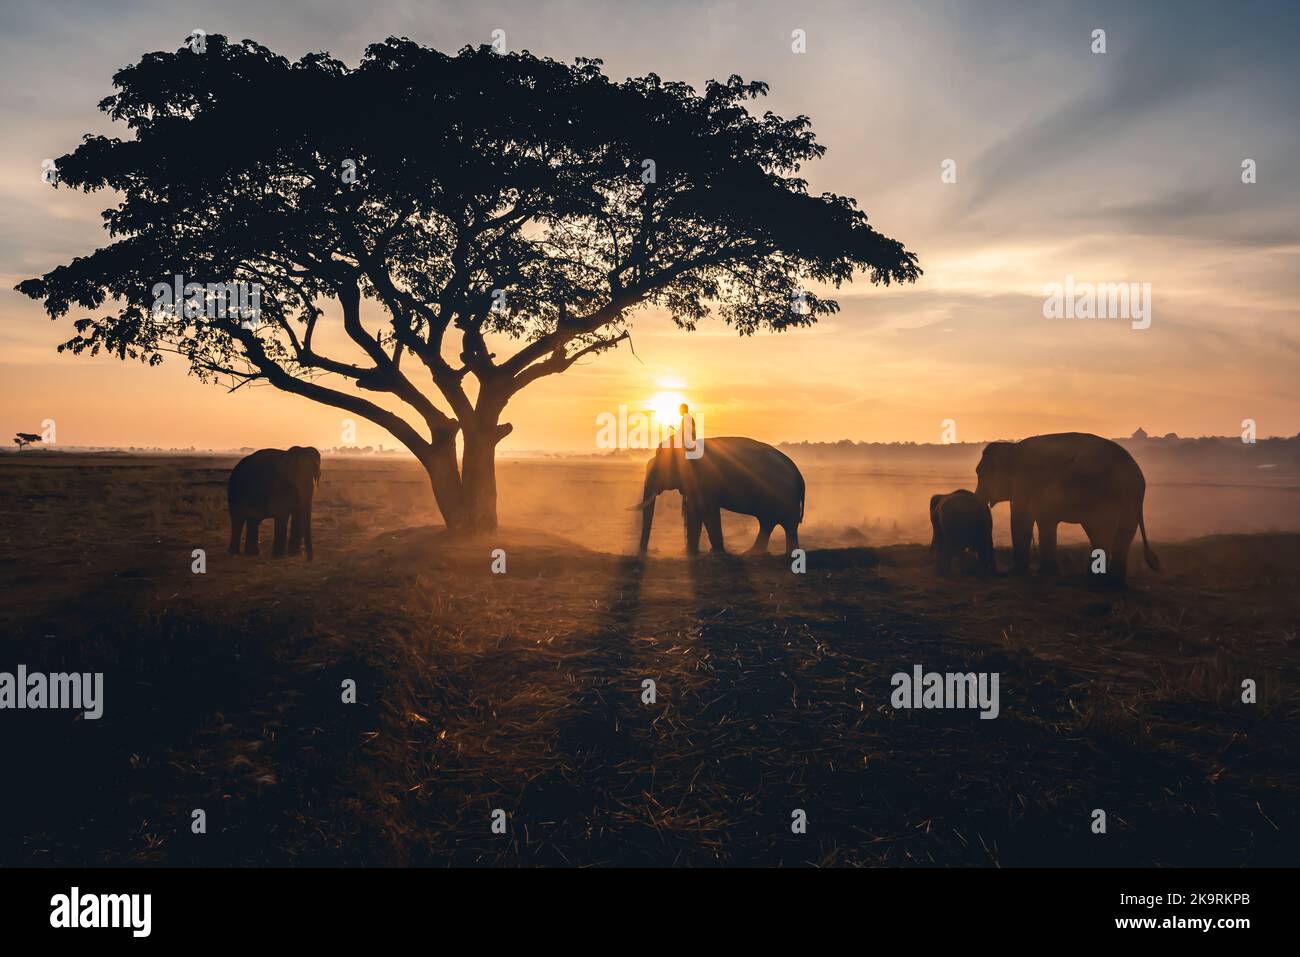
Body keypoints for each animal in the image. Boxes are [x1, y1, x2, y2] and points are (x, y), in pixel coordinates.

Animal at [631, 434, 800, 553]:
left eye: (658, 470)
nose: (649, 550)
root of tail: (797, 472)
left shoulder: (705, 481)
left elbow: (706, 511)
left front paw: (714, 552)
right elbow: (696, 511)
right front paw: (690, 552)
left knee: (779, 523)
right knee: (772, 523)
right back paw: (759, 553)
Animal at [977, 434, 1159, 582]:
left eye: (979, 472)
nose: (998, 574)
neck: (1011, 448)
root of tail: (1135, 475)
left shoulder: (1023, 483)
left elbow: (1021, 520)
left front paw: (1017, 574)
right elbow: (1046, 522)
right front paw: (1047, 572)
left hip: (1101, 495)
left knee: (1099, 532)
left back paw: (1094, 580)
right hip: (1130, 502)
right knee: (1122, 536)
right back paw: (1113, 583)